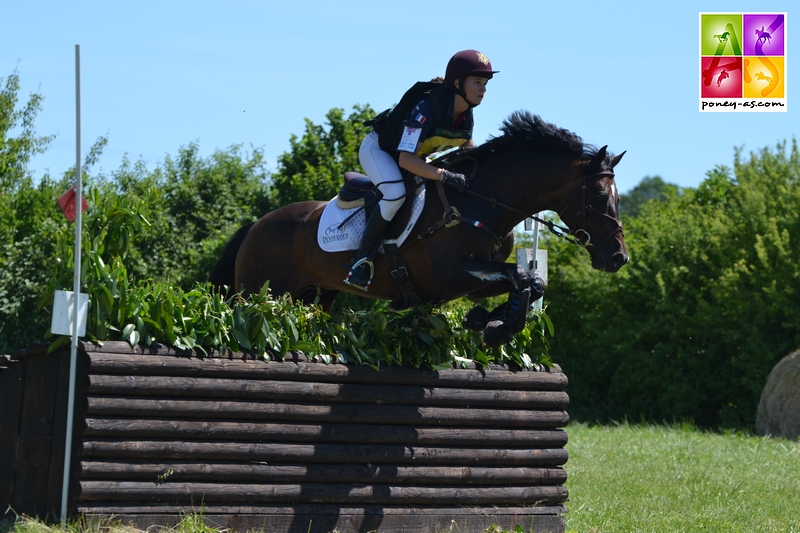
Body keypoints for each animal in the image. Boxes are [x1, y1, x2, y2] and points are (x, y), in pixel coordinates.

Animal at [212, 111, 632, 344]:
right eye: (598, 198)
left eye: (618, 197)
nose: (618, 258)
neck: (483, 200)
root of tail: (256, 225)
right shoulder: (449, 275)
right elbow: (523, 277)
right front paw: (497, 327)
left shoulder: (473, 281)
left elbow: (531, 281)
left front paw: (489, 321)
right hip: (258, 292)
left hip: (313, 295)